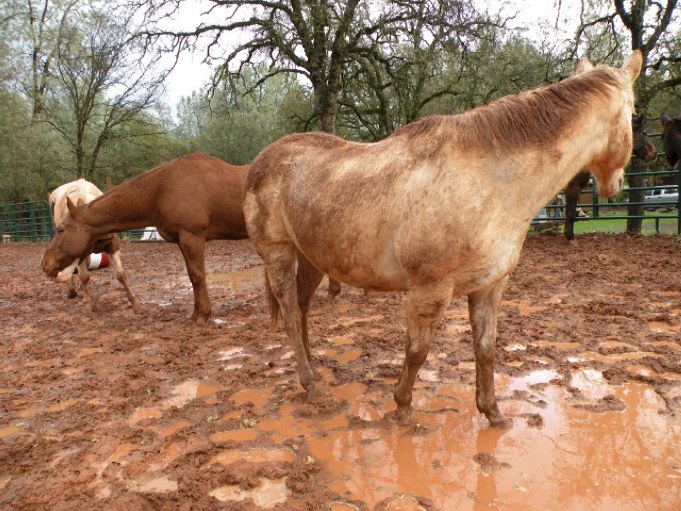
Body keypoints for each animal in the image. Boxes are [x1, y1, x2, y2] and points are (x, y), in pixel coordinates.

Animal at [46, 180, 138, 312]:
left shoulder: (112, 245)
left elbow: (121, 274)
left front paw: (134, 302)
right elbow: (84, 277)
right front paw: (87, 304)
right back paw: (72, 291)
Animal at [244, 51, 644, 428]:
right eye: (635, 113)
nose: (617, 184)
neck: (490, 181)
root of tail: (261, 161)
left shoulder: (489, 286)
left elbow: (485, 348)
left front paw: (493, 413)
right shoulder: (430, 290)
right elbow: (417, 351)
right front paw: (403, 407)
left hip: (312, 258)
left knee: (302, 310)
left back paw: (312, 369)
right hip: (279, 256)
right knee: (291, 316)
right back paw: (310, 383)